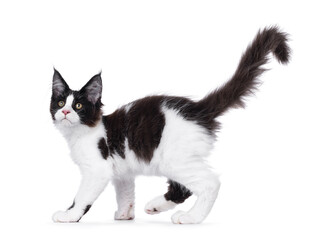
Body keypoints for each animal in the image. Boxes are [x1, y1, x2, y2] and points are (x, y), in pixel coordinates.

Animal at [50, 25, 290, 223]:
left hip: (174, 159)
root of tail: (198, 109)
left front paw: (70, 215)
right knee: (182, 188)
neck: (82, 132)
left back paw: (191, 218)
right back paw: (156, 207)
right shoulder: (123, 171)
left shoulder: (97, 170)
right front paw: (125, 214)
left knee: (209, 183)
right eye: (60, 103)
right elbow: (126, 193)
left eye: (78, 106)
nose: (65, 111)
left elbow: (82, 197)